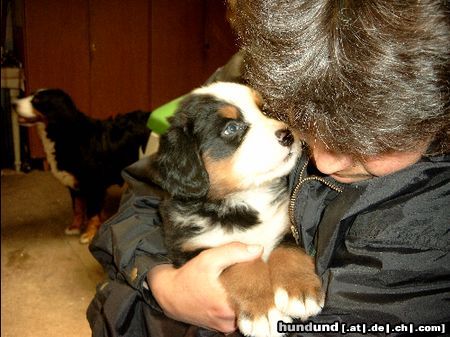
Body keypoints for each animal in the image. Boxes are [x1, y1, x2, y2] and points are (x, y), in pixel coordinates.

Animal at [13, 88, 151, 243]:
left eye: (37, 100)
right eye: (30, 94)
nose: (13, 104)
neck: (66, 134)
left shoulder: (94, 185)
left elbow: (92, 212)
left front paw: (89, 234)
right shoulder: (74, 184)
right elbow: (78, 208)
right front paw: (75, 227)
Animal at [141, 82, 324, 336]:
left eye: (264, 110)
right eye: (231, 128)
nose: (287, 134)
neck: (247, 197)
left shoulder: (284, 226)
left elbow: (289, 252)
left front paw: (300, 291)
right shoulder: (199, 249)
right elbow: (244, 266)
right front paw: (265, 314)